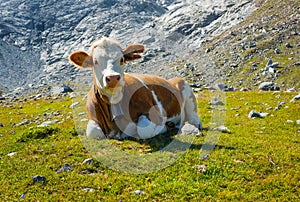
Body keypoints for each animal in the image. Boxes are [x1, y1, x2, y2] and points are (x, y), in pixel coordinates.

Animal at [68, 37, 202, 140]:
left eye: (122, 59)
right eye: (95, 61)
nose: (112, 78)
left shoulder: (155, 113)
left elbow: (144, 131)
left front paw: (164, 127)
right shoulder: (92, 117)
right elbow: (93, 132)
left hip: (184, 85)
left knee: (193, 117)